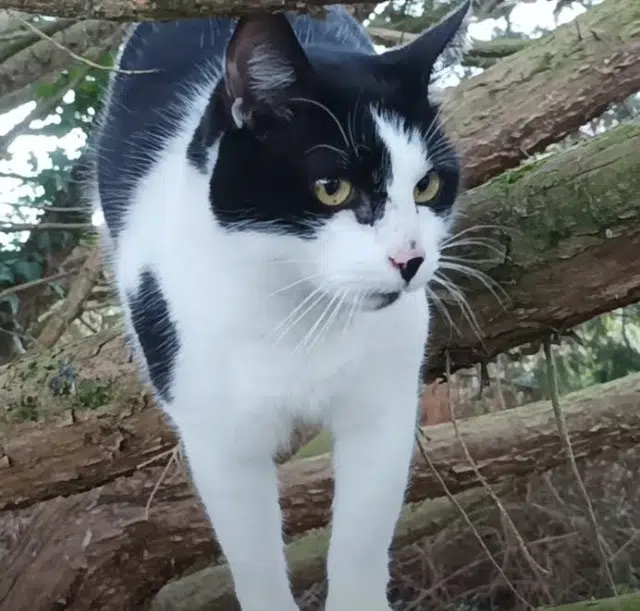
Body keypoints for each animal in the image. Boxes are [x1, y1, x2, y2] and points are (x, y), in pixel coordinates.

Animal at [90, 2, 471, 610]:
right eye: (332, 188)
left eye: (428, 186)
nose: (410, 259)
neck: (302, 309)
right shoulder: (221, 440)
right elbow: (255, 562)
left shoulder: (383, 406)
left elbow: (361, 542)